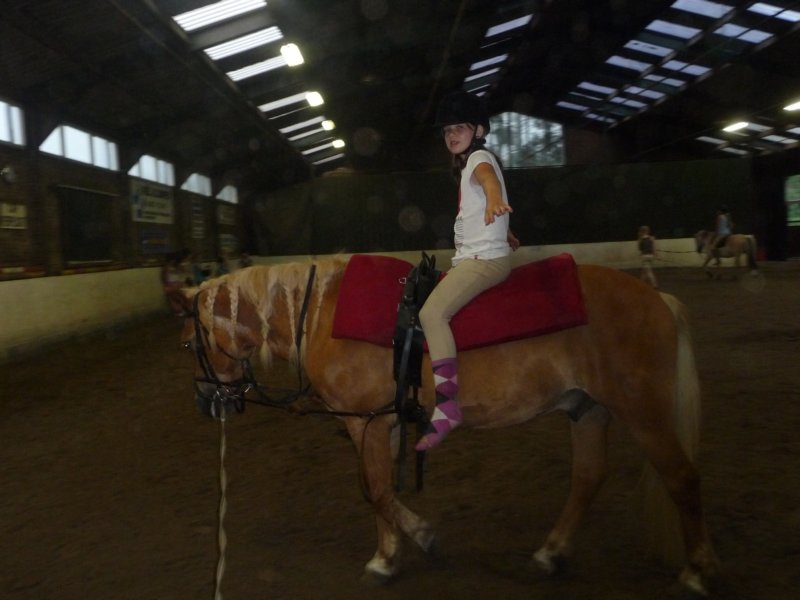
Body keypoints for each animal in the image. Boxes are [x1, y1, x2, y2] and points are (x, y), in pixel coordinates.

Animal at [172, 257, 719, 596]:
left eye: (187, 343)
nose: (204, 402)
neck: (322, 314)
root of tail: (658, 298)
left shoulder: (364, 423)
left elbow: (374, 489)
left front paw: (389, 557)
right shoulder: (384, 422)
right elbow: (382, 492)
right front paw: (412, 542)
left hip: (642, 412)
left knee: (682, 478)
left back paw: (695, 573)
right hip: (588, 410)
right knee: (587, 478)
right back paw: (550, 553)